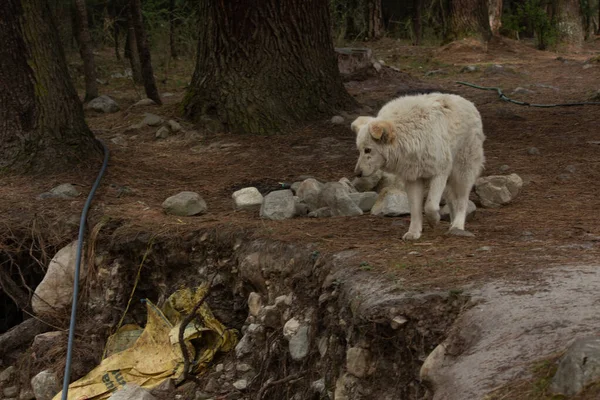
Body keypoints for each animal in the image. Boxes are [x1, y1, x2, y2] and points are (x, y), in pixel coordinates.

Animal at [352, 92, 488, 239]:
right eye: (359, 150)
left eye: (368, 150)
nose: (357, 173)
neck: (407, 136)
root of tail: (468, 102)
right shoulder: (413, 178)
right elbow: (415, 209)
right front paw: (414, 232)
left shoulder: (439, 172)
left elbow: (430, 206)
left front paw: (434, 221)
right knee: (453, 200)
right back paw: (452, 224)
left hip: (463, 171)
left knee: (463, 200)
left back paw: (458, 225)